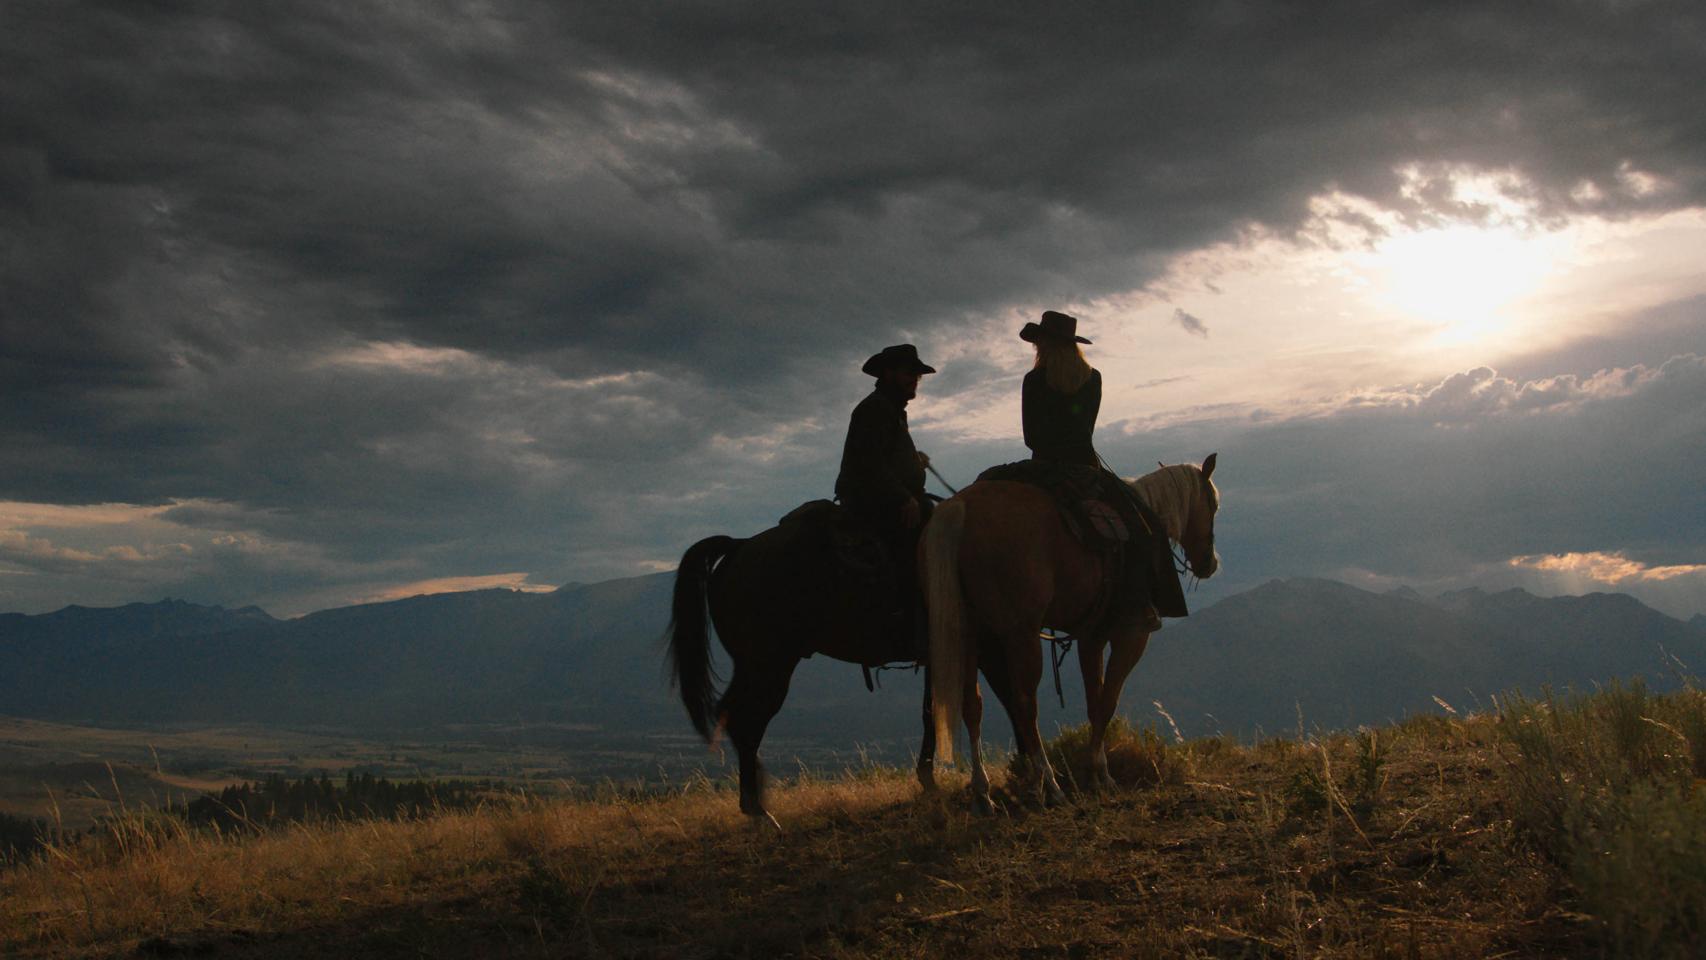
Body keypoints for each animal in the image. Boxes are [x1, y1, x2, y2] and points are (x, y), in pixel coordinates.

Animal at [914, 456, 1221, 811]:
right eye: (1213, 504)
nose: (1210, 563)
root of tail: (959, 509)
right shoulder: (1131, 635)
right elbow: (1108, 701)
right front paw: (1101, 774)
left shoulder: (1091, 638)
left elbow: (1094, 702)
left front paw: (1097, 774)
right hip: (1021, 635)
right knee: (1024, 704)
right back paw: (1050, 784)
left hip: (971, 635)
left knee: (971, 704)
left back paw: (983, 791)